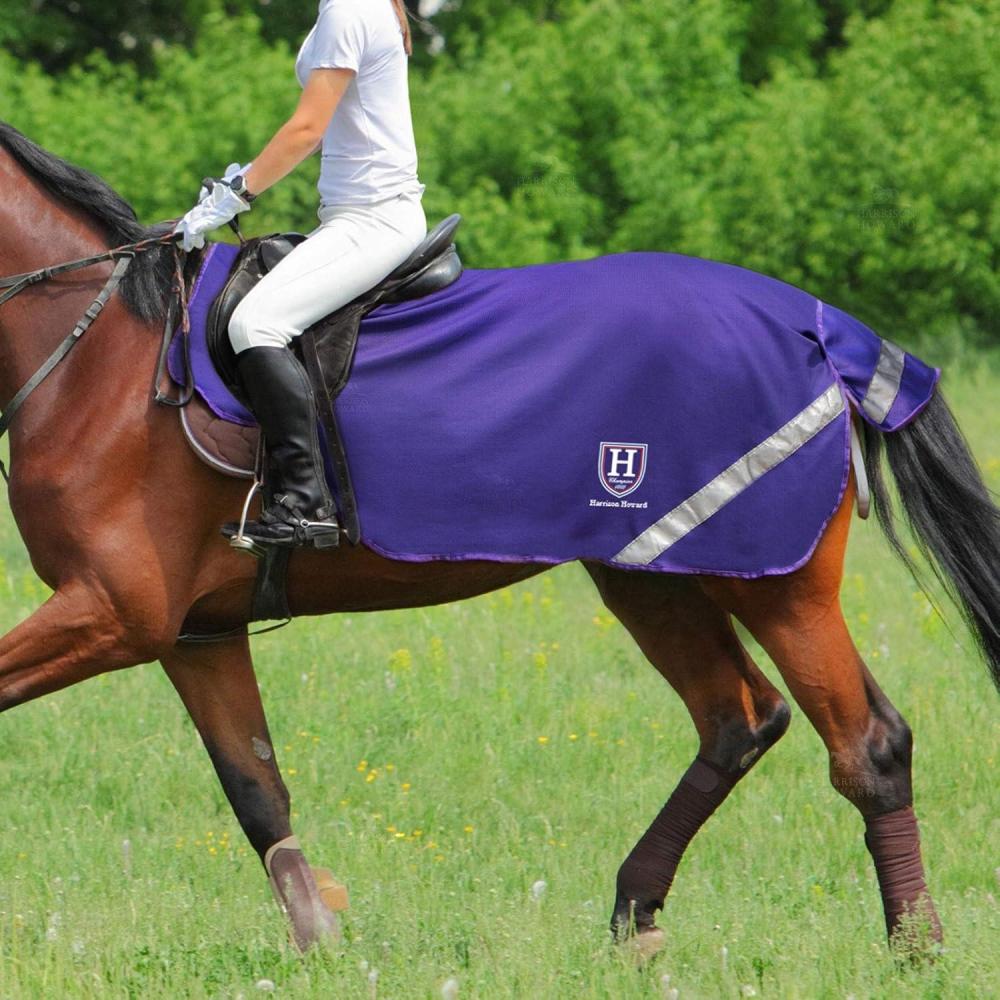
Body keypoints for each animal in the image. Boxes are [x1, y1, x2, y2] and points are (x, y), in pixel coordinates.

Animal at [1, 121, 998, 957]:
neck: (98, 360)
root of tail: (819, 328)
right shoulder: (195, 632)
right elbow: (257, 791)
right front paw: (322, 938)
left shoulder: (115, 613)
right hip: (654, 575)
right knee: (737, 719)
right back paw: (636, 918)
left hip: (775, 584)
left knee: (866, 745)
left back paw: (915, 947)